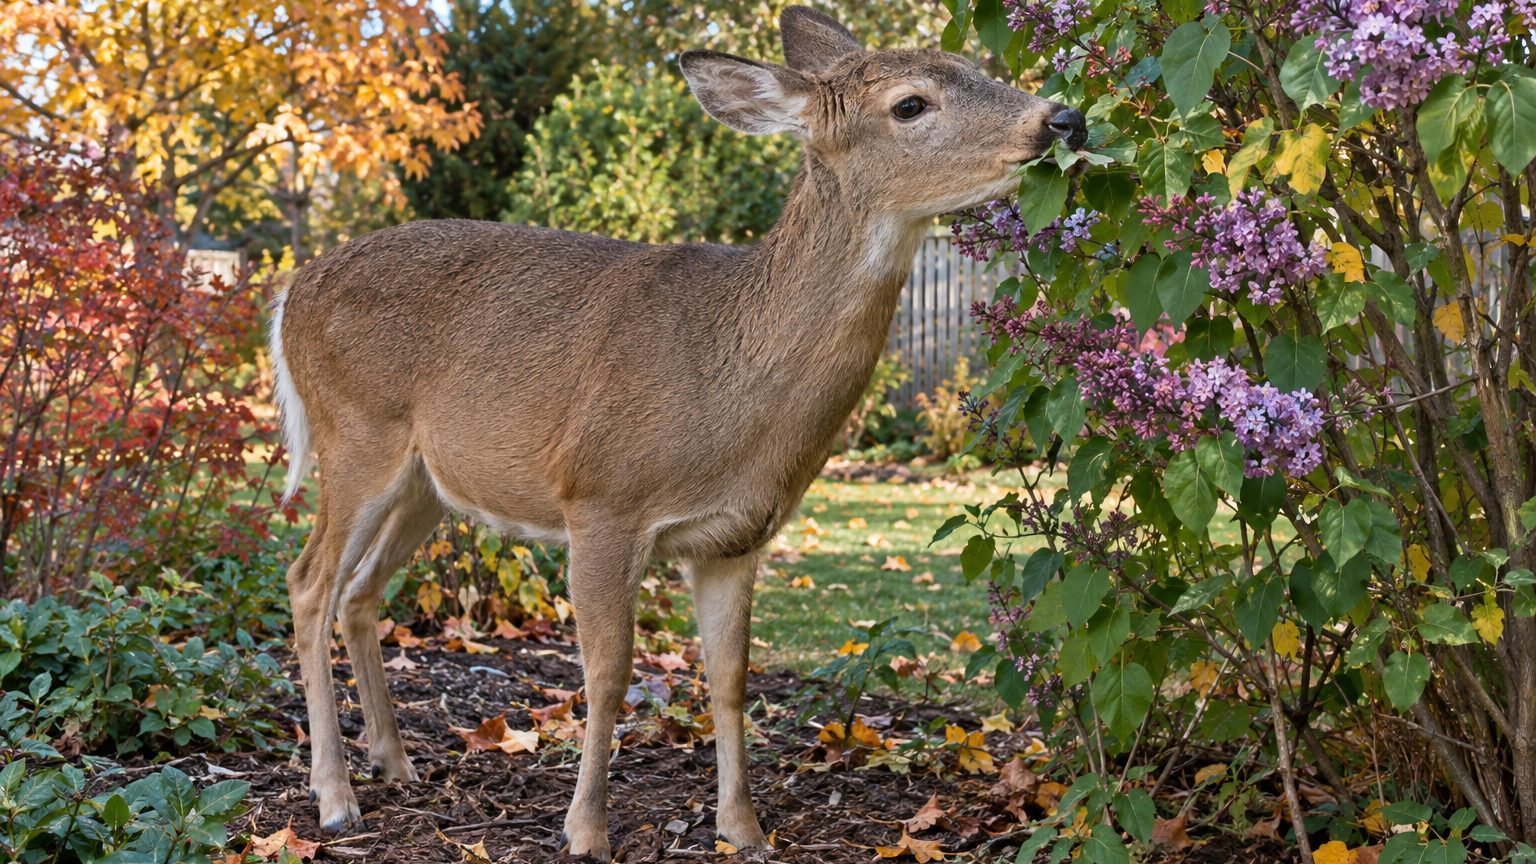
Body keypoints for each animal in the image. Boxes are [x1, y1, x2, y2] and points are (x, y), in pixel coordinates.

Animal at [269, 6, 1085, 859]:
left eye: (976, 67)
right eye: (910, 104)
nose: (1064, 118)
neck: (727, 383)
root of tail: (291, 290)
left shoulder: (735, 536)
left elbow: (729, 678)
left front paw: (744, 827)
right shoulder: (601, 499)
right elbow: (608, 675)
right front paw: (586, 831)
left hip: (427, 479)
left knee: (360, 592)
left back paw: (394, 765)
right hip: (354, 434)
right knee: (308, 582)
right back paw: (336, 799)